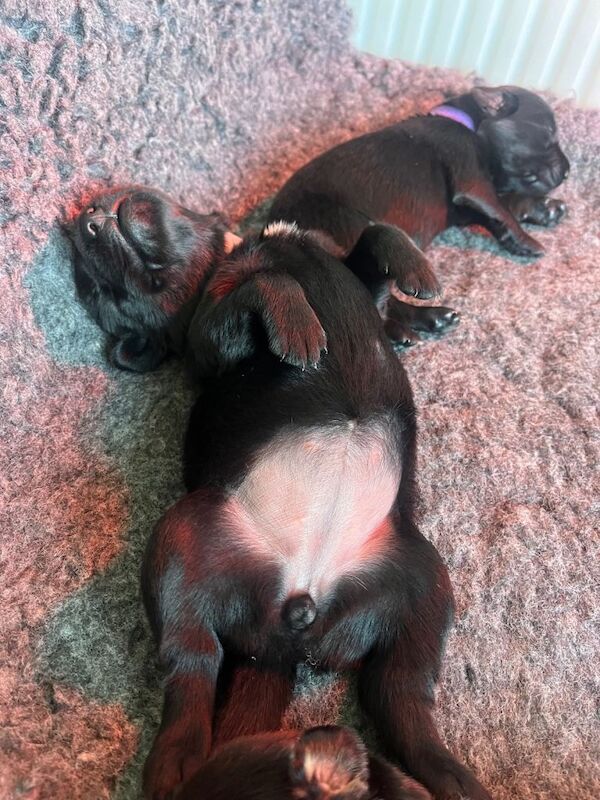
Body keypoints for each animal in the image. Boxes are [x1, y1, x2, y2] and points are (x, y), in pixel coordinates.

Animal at [66, 187, 457, 372]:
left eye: (97, 290)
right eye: (106, 293)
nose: (90, 221)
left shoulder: (352, 274)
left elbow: (379, 232)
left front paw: (419, 273)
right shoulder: (214, 340)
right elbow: (268, 279)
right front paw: (300, 329)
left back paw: (429, 316)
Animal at [269, 85, 570, 346]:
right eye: (548, 132)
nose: (568, 171)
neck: (468, 123)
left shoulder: (463, 208)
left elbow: (504, 205)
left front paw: (545, 208)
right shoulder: (472, 180)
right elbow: (501, 210)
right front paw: (529, 240)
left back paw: (430, 320)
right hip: (348, 227)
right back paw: (414, 322)